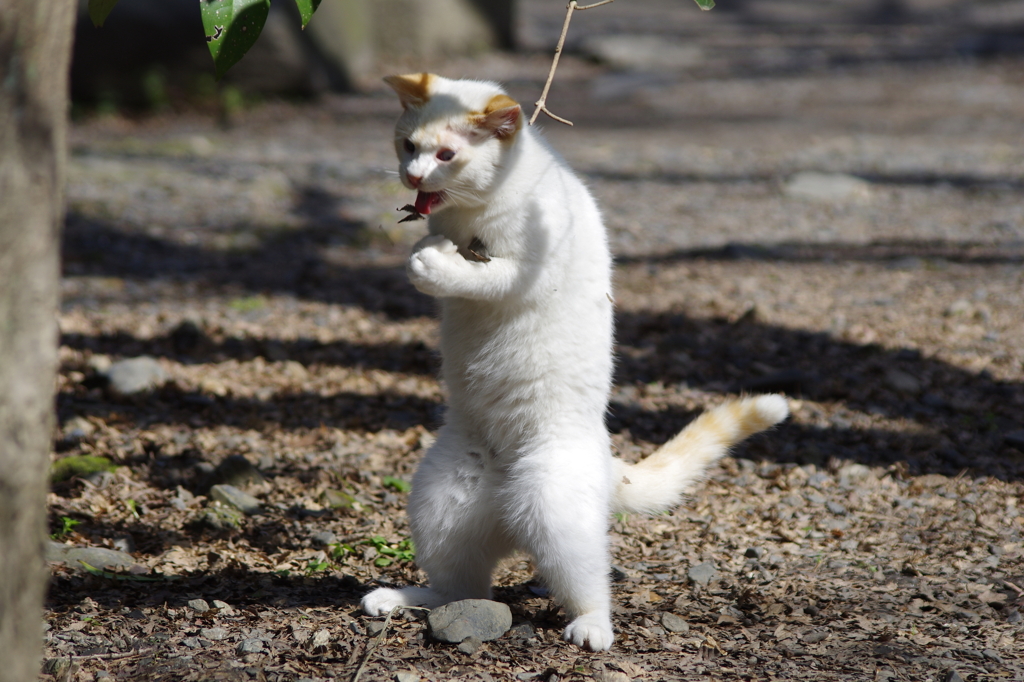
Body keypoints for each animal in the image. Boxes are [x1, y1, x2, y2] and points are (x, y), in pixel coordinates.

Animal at [360, 71, 790, 651]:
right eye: (408, 146)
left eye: (447, 153)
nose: (413, 176)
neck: (473, 210)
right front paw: (428, 248)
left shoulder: (529, 270)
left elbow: (480, 275)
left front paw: (434, 262)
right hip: (439, 503)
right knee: (461, 587)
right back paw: (400, 598)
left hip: (554, 507)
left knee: (586, 582)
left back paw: (592, 628)